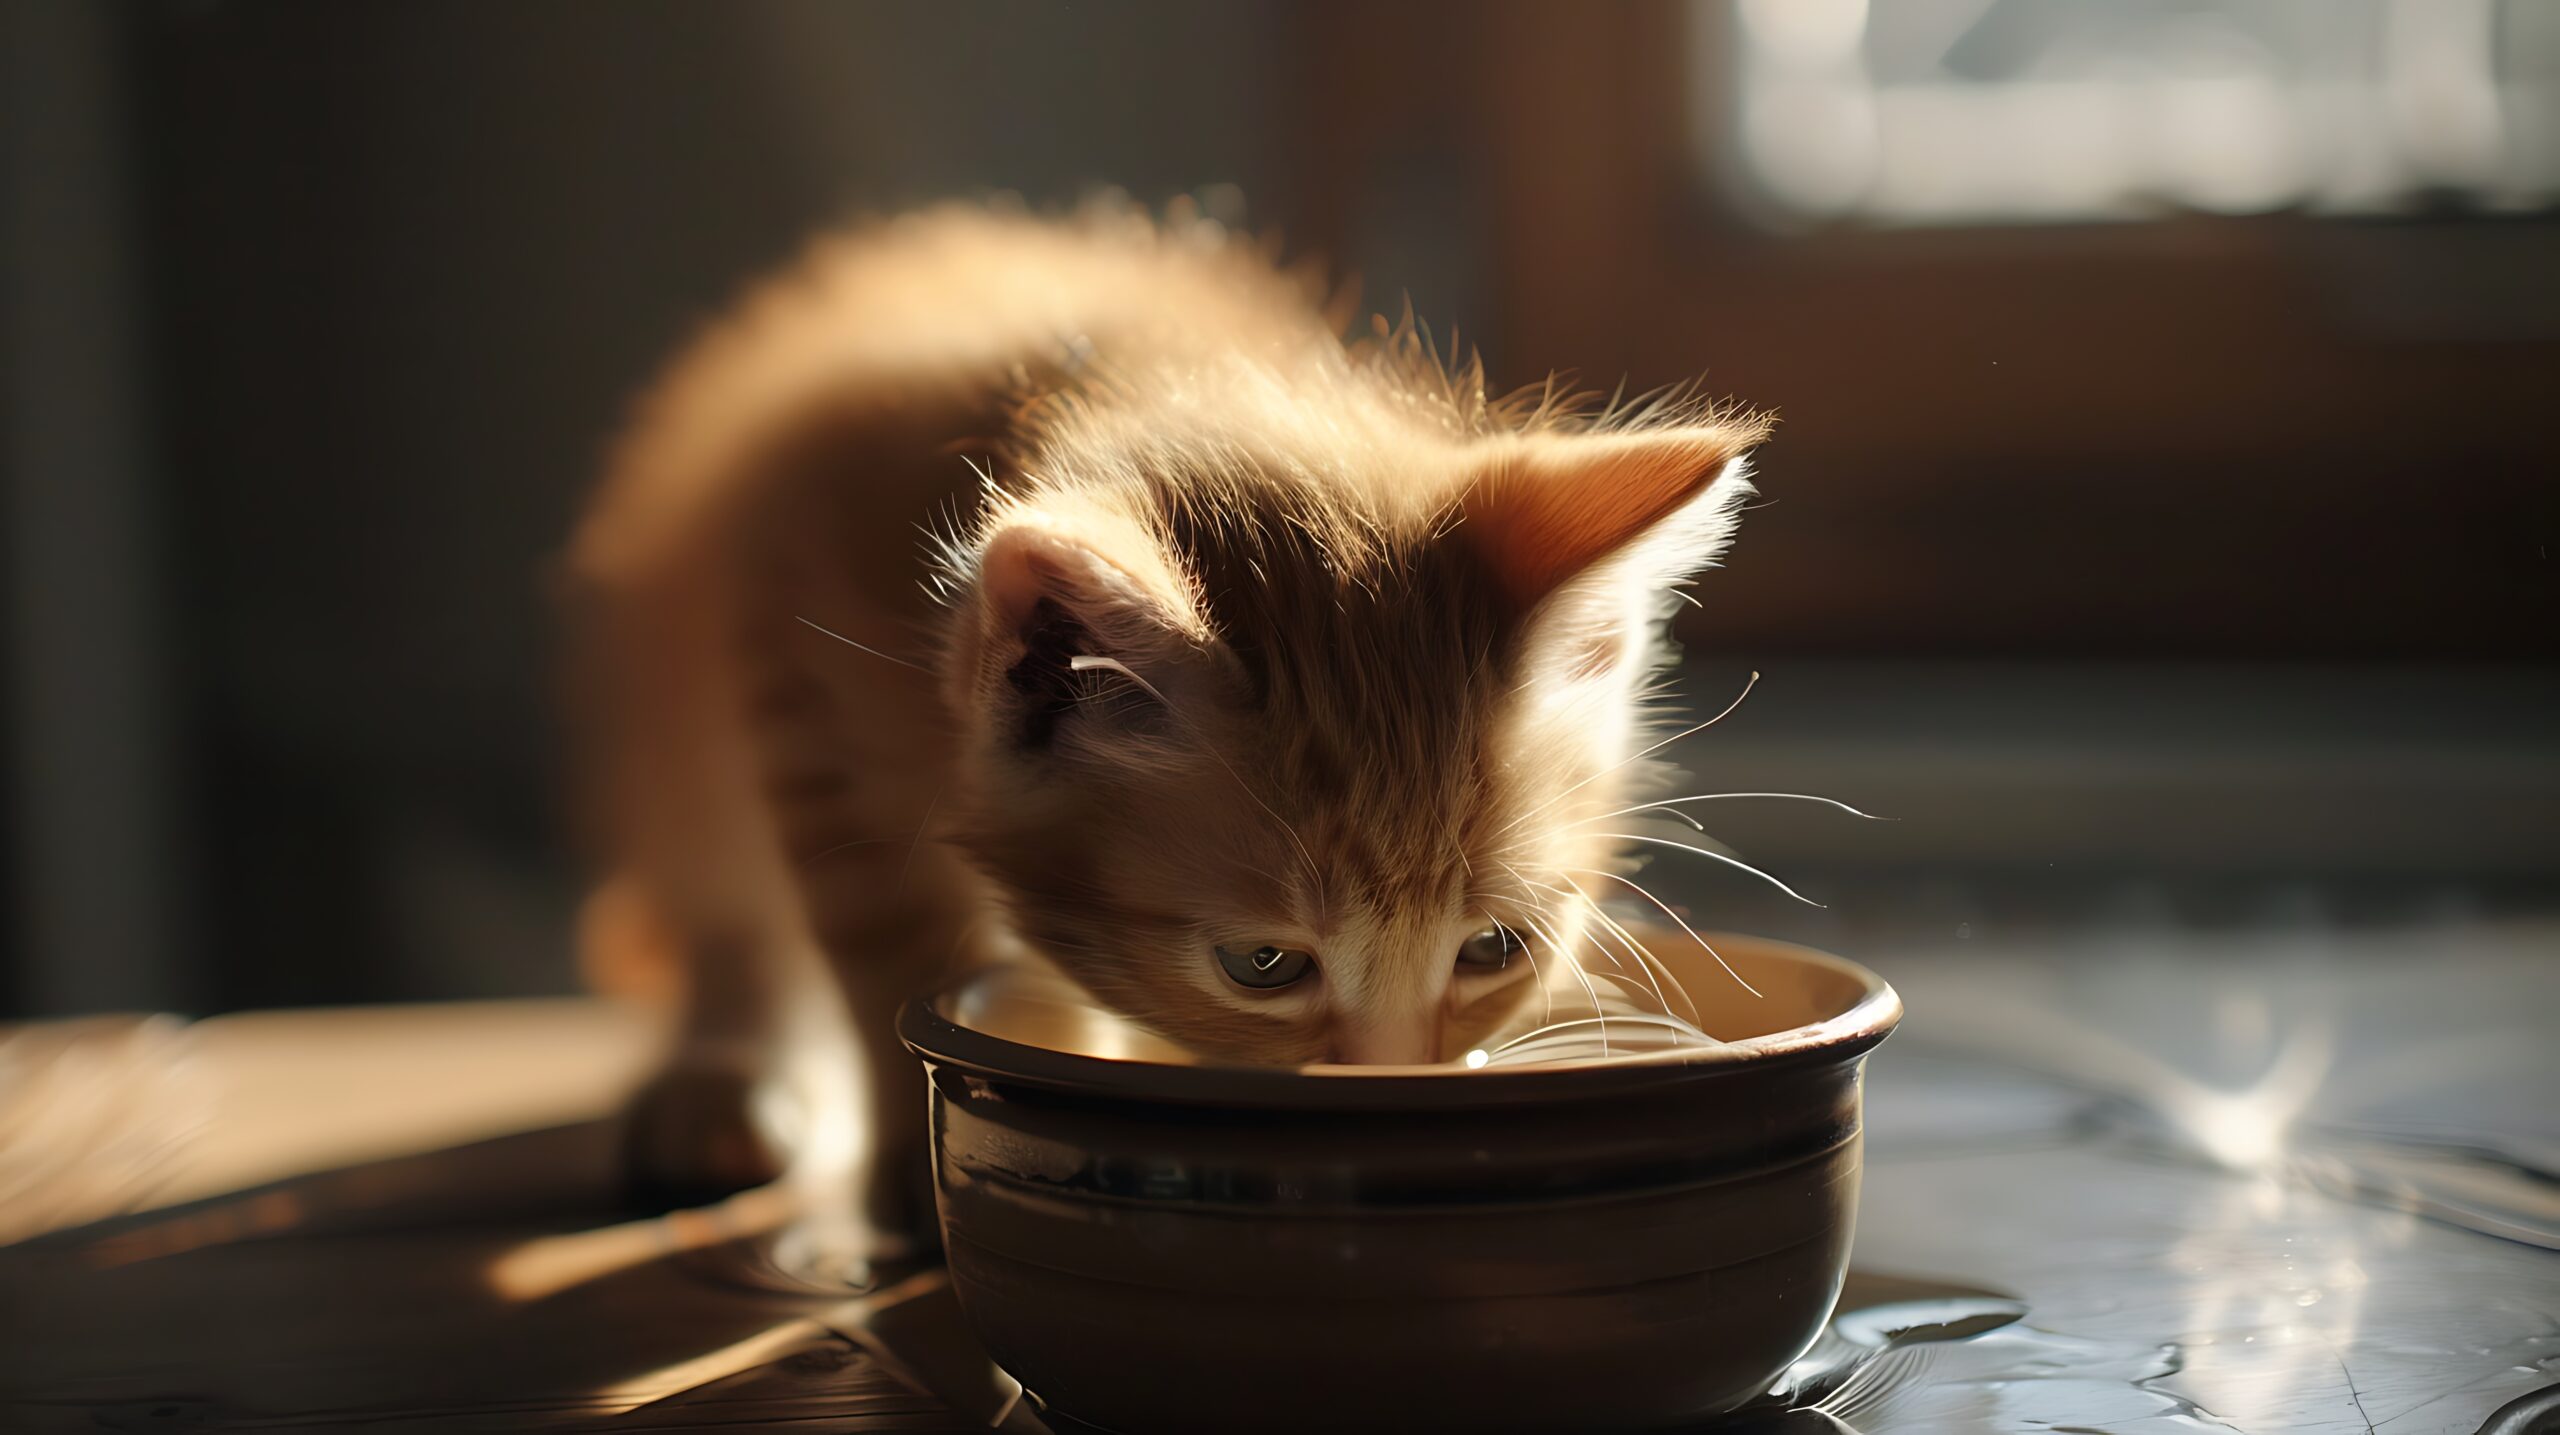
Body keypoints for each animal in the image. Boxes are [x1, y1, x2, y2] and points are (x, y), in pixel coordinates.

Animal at [565, 202, 1761, 1243]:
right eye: (1263, 967)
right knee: (724, 897)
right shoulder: (794, 655)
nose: (1391, 1081)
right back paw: (722, 1078)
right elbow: (884, 932)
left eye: (1492, 948)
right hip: (670, 706)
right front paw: (921, 1152)